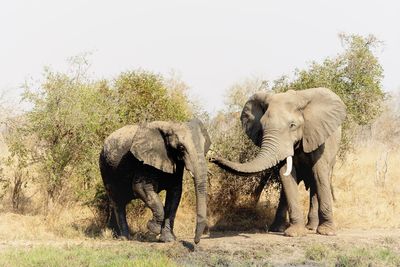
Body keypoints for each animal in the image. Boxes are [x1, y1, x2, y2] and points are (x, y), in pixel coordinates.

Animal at [212, 89, 346, 238]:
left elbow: (319, 173)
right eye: (262, 127)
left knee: (318, 182)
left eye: (292, 125)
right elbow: (285, 173)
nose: (212, 158)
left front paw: (327, 232)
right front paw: (295, 233)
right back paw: (277, 229)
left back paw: (311, 228)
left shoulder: (317, 135)